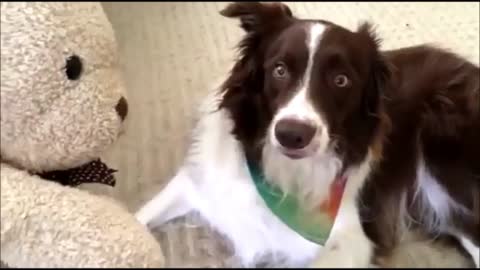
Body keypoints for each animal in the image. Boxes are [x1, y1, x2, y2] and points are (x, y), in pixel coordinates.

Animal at [136, 2, 480, 268]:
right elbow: (139, 220)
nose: (292, 135)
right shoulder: (199, 184)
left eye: (341, 80)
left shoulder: (351, 242)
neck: (280, 176)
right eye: (279, 69)